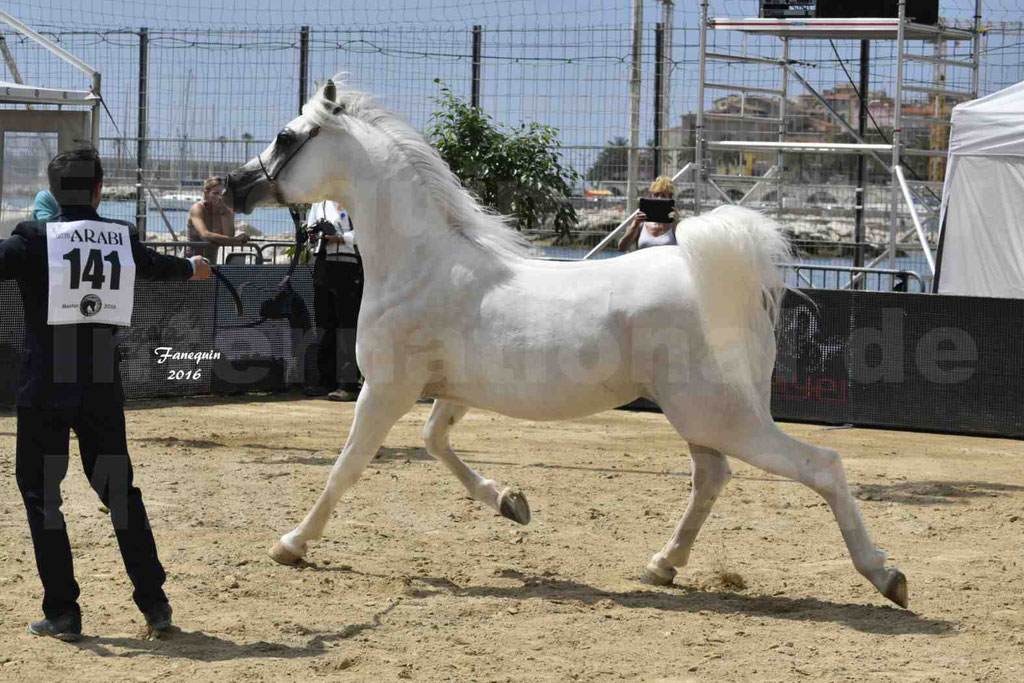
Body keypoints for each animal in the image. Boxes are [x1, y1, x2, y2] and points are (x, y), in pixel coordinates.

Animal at [226, 80, 905, 610]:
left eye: (286, 137)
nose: (231, 186)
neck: (423, 266)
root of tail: (727, 283)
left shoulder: (385, 390)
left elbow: (346, 468)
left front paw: (291, 544)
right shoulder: (450, 393)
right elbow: (435, 443)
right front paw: (511, 503)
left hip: (720, 414)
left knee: (820, 466)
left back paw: (886, 576)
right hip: (704, 416)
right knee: (712, 478)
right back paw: (661, 565)